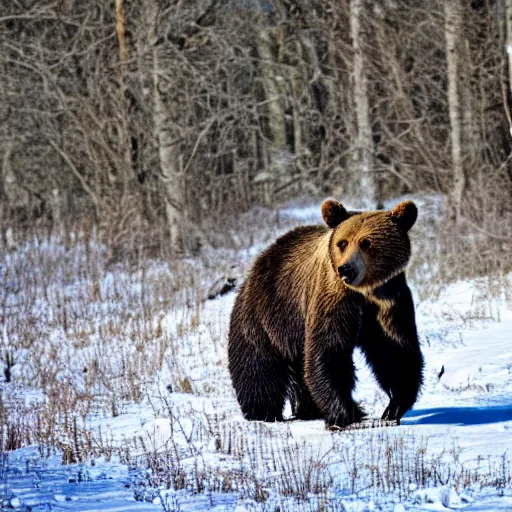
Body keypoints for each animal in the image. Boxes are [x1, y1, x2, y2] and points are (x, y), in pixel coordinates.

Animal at [228, 199, 424, 428]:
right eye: (342, 243)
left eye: (366, 242)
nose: (346, 269)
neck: (364, 292)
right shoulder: (333, 299)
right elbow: (329, 350)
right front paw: (346, 414)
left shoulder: (390, 300)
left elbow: (395, 351)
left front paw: (393, 408)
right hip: (266, 315)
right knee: (257, 367)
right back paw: (262, 413)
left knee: (299, 370)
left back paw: (307, 410)